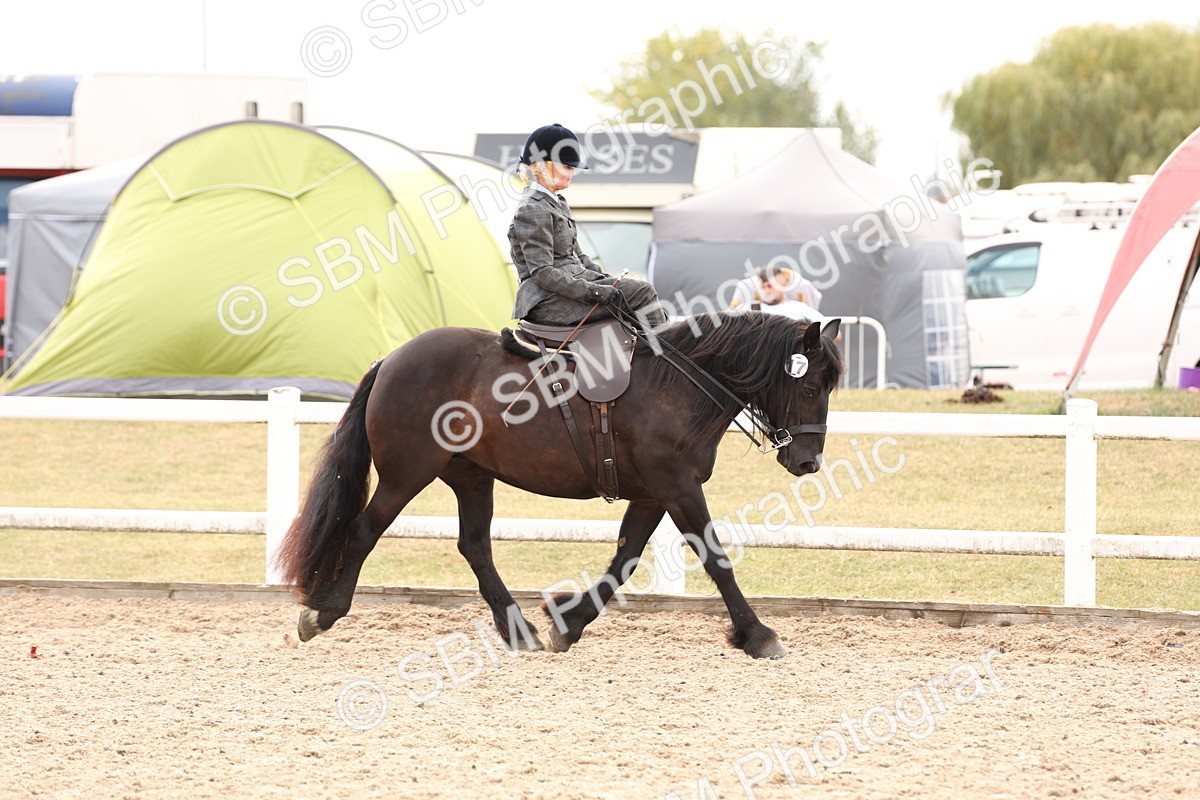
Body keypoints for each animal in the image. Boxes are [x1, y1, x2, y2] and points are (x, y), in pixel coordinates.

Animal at [275, 311, 843, 659]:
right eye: (810, 386)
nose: (808, 461)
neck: (678, 385)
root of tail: (391, 358)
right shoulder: (677, 487)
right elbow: (714, 557)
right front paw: (758, 634)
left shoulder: (651, 494)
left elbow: (625, 559)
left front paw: (568, 623)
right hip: (406, 473)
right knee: (363, 531)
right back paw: (323, 612)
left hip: (471, 477)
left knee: (474, 546)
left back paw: (517, 628)